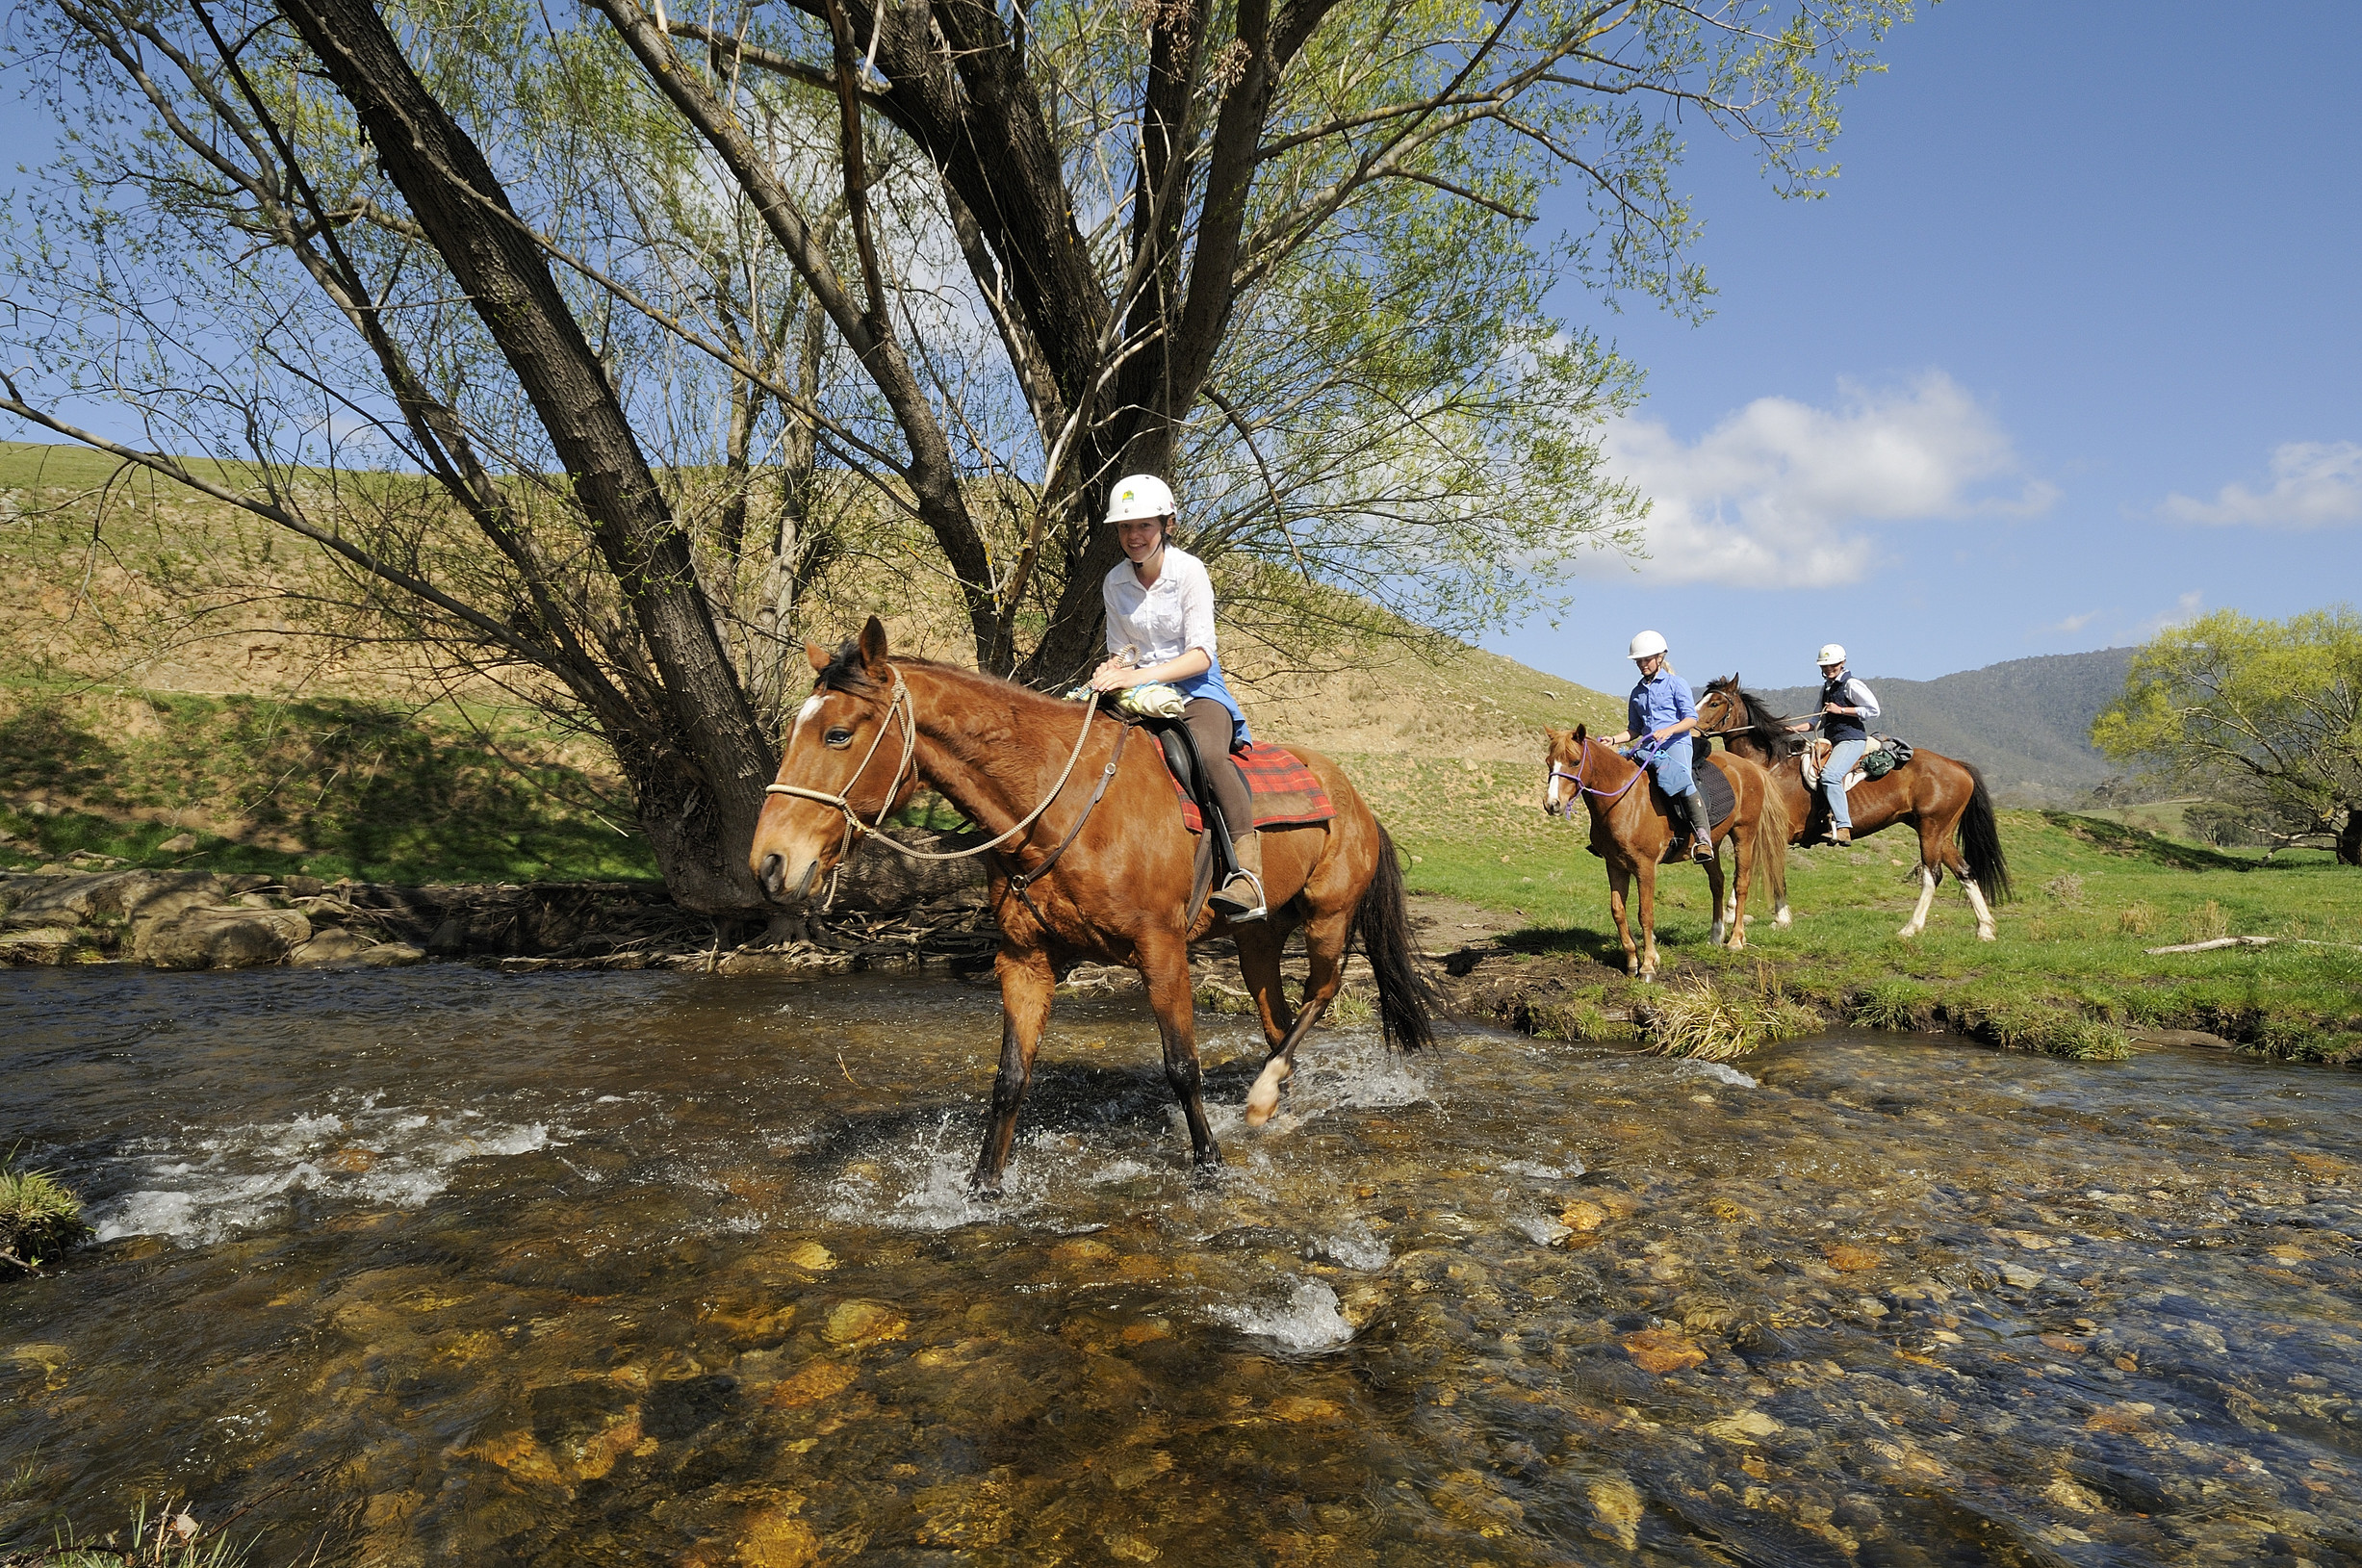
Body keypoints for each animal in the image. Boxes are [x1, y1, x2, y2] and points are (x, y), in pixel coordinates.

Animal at [756, 618, 1426, 1195]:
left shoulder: (1162, 952)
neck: (1065, 803)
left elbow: (1182, 1066)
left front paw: (1209, 1168)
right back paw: (1273, 1096)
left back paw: (1263, 1096)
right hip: (1256, 936)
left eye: (838, 735)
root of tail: (1354, 798)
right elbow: (1010, 1077)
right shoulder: (1025, 960)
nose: (770, 863)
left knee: (1323, 991)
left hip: (1328, 918)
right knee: (1277, 1018)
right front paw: (983, 1187)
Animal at [1530, 727, 1785, 982]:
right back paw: (1715, 936)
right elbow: (1618, 911)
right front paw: (1632, 960)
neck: (1624, 800)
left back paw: (1735, 940)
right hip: (1713, 842)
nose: (1552, 804)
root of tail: (1750, 767)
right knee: (1717, 883)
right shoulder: (1615, 865)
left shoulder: (1645, 866)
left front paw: (1648, 965)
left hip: (1744, 835)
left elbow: (1645, 914)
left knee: (1741, 883)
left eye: (1575, 762)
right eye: (1549, 762)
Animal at [1700, 675, 2012, 944]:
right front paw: (1762, 917)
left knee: (1932, 876)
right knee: (1965, 871)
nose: (1694, 727)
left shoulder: (1773, 832)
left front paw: (1760, 916)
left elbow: (1764, 872)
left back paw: (1911, 928)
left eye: (1714, 703)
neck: (1769, 766)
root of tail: (1958, 765)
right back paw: (1985, 929)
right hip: (1940, 833)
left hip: (1931, 831)